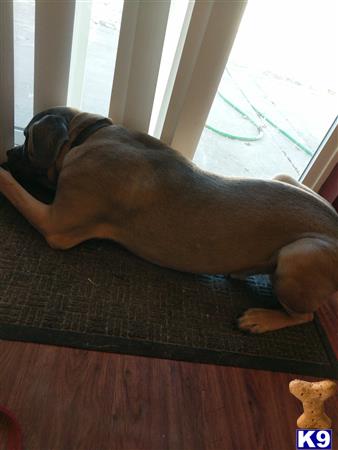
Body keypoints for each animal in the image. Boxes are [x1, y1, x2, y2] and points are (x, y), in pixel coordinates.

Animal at [0, 106, 338, 330]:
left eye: (27, 137)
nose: (9, 151)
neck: (88, 135)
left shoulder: (56, 224)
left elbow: (11, 186)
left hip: (300, 254)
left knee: (305, 315)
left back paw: (261, 318)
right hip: (284, 178)